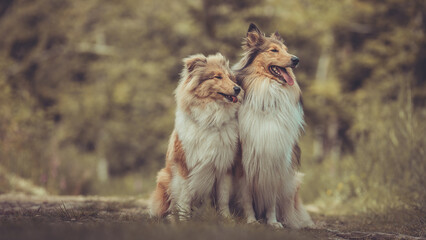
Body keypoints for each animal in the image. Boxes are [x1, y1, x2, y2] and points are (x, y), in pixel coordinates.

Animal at [149, 53, 243, 221]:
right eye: (217, 77)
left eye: (230, 77)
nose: (238, 89)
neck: (211, 120)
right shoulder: (185, 166)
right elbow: (185, 197)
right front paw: (184, 221)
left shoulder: (224, 166)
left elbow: (223, 197)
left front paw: (227, 219)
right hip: (164, 177)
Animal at [233, 23, 312, 229]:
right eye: (274, 50)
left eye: (286, 49)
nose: (296, 59)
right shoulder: (244, 160)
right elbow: (246, 196)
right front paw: (251, 220)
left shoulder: (277, 158)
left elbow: (272, 199)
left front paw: (273, 222)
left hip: (293, 181)